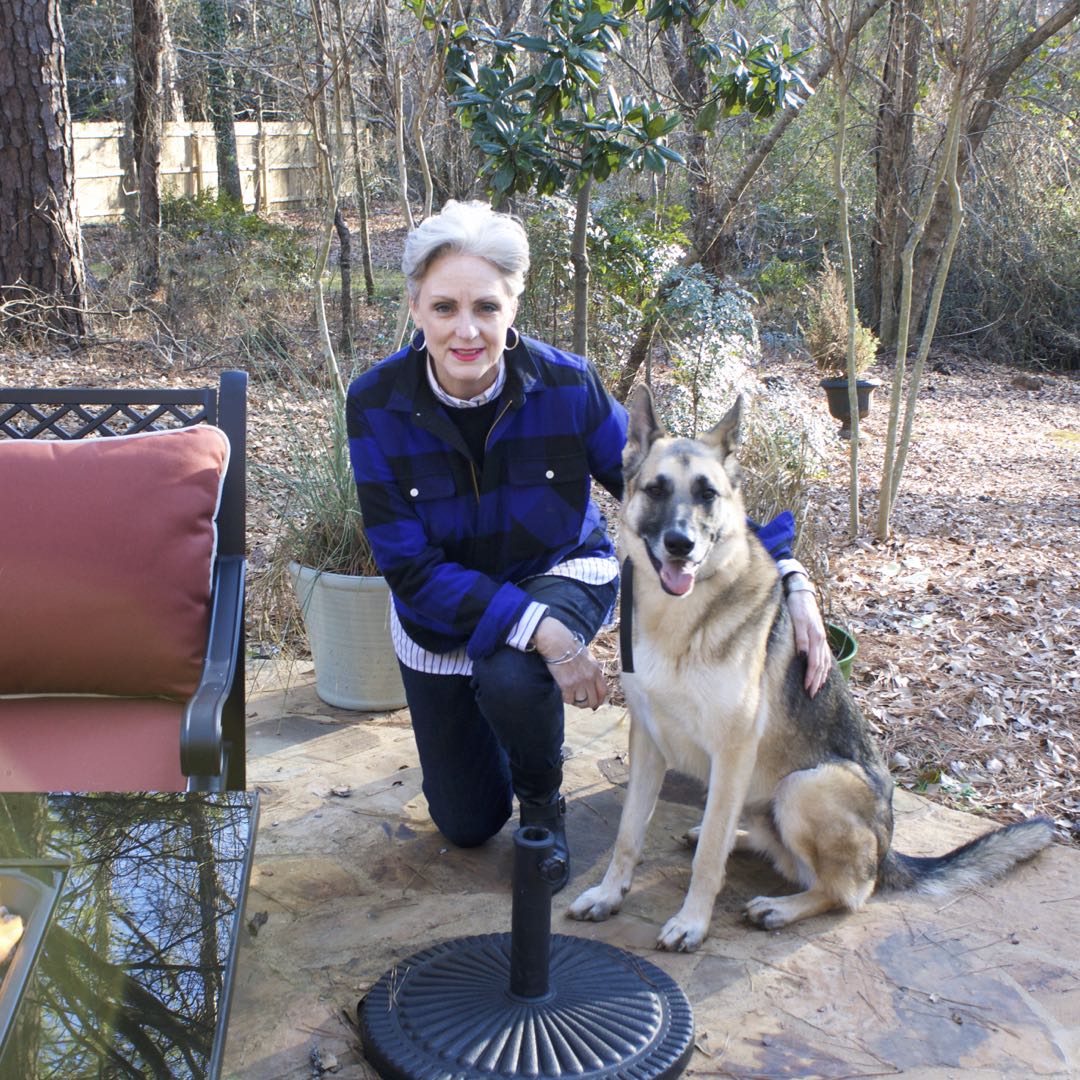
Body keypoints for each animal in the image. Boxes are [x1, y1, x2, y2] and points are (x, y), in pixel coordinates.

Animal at [570, 386, 1049, 954]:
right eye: (656, 489)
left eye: (707, 494)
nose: (680, 545)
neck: (682, 622)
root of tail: (887, 850)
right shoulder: (648, 741)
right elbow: (628, 833)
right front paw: (609, 894)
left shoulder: (732, 753)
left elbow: (708, 862)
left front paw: (692, 922)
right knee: (766, 847)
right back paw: (738, 839)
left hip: (804, 787)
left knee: (848, 891)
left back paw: (780, 906)